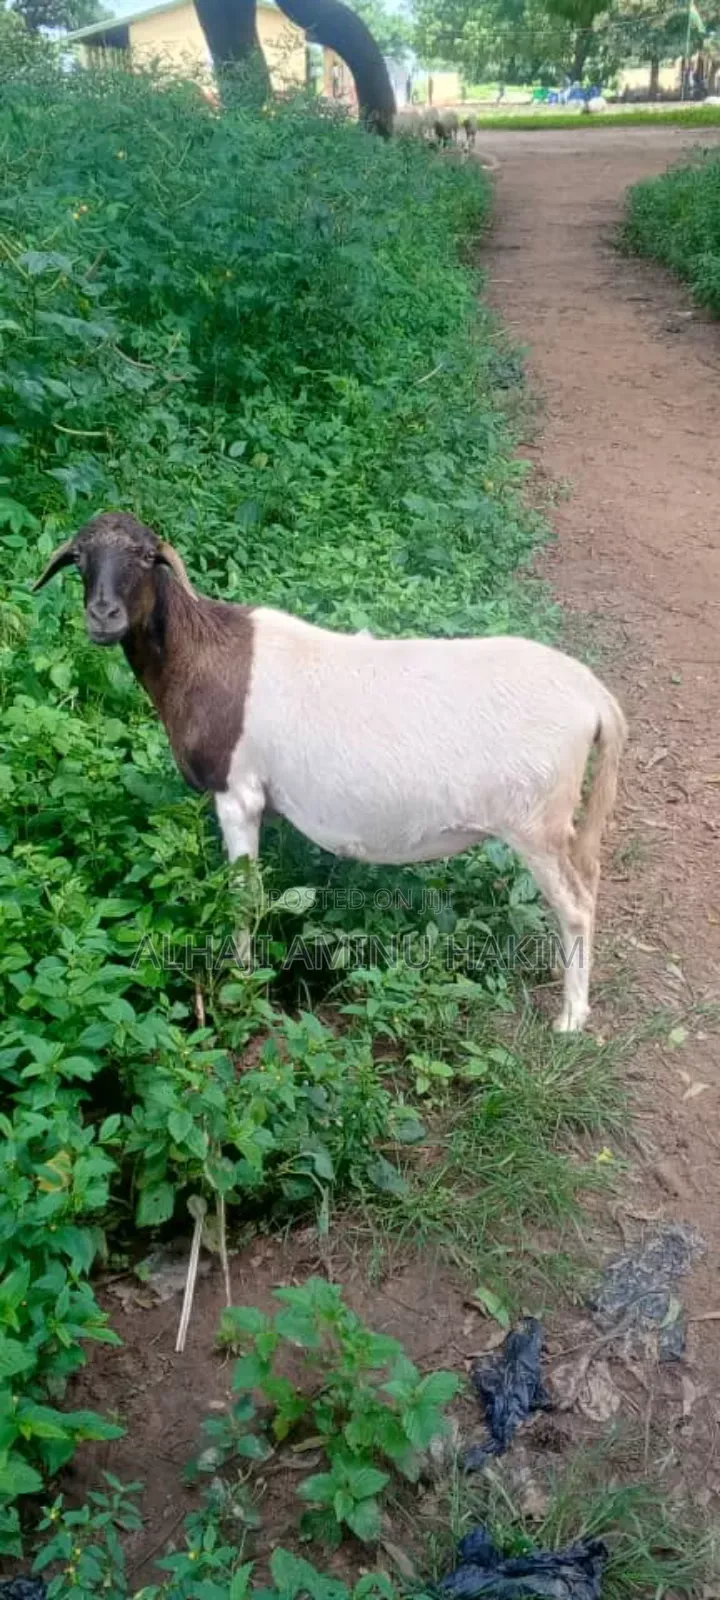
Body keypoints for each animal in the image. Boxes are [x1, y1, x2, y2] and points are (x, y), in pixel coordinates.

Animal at [34, 512, 627, 1032]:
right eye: (80, 559)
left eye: (144, 556)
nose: (104, 615)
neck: (199, 654)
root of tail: (595, 700)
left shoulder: (237, 792)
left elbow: (243, 898)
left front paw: (241, 984)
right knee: (588, 881)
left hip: (535, 821)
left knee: (575, 905)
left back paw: (571, 1018)